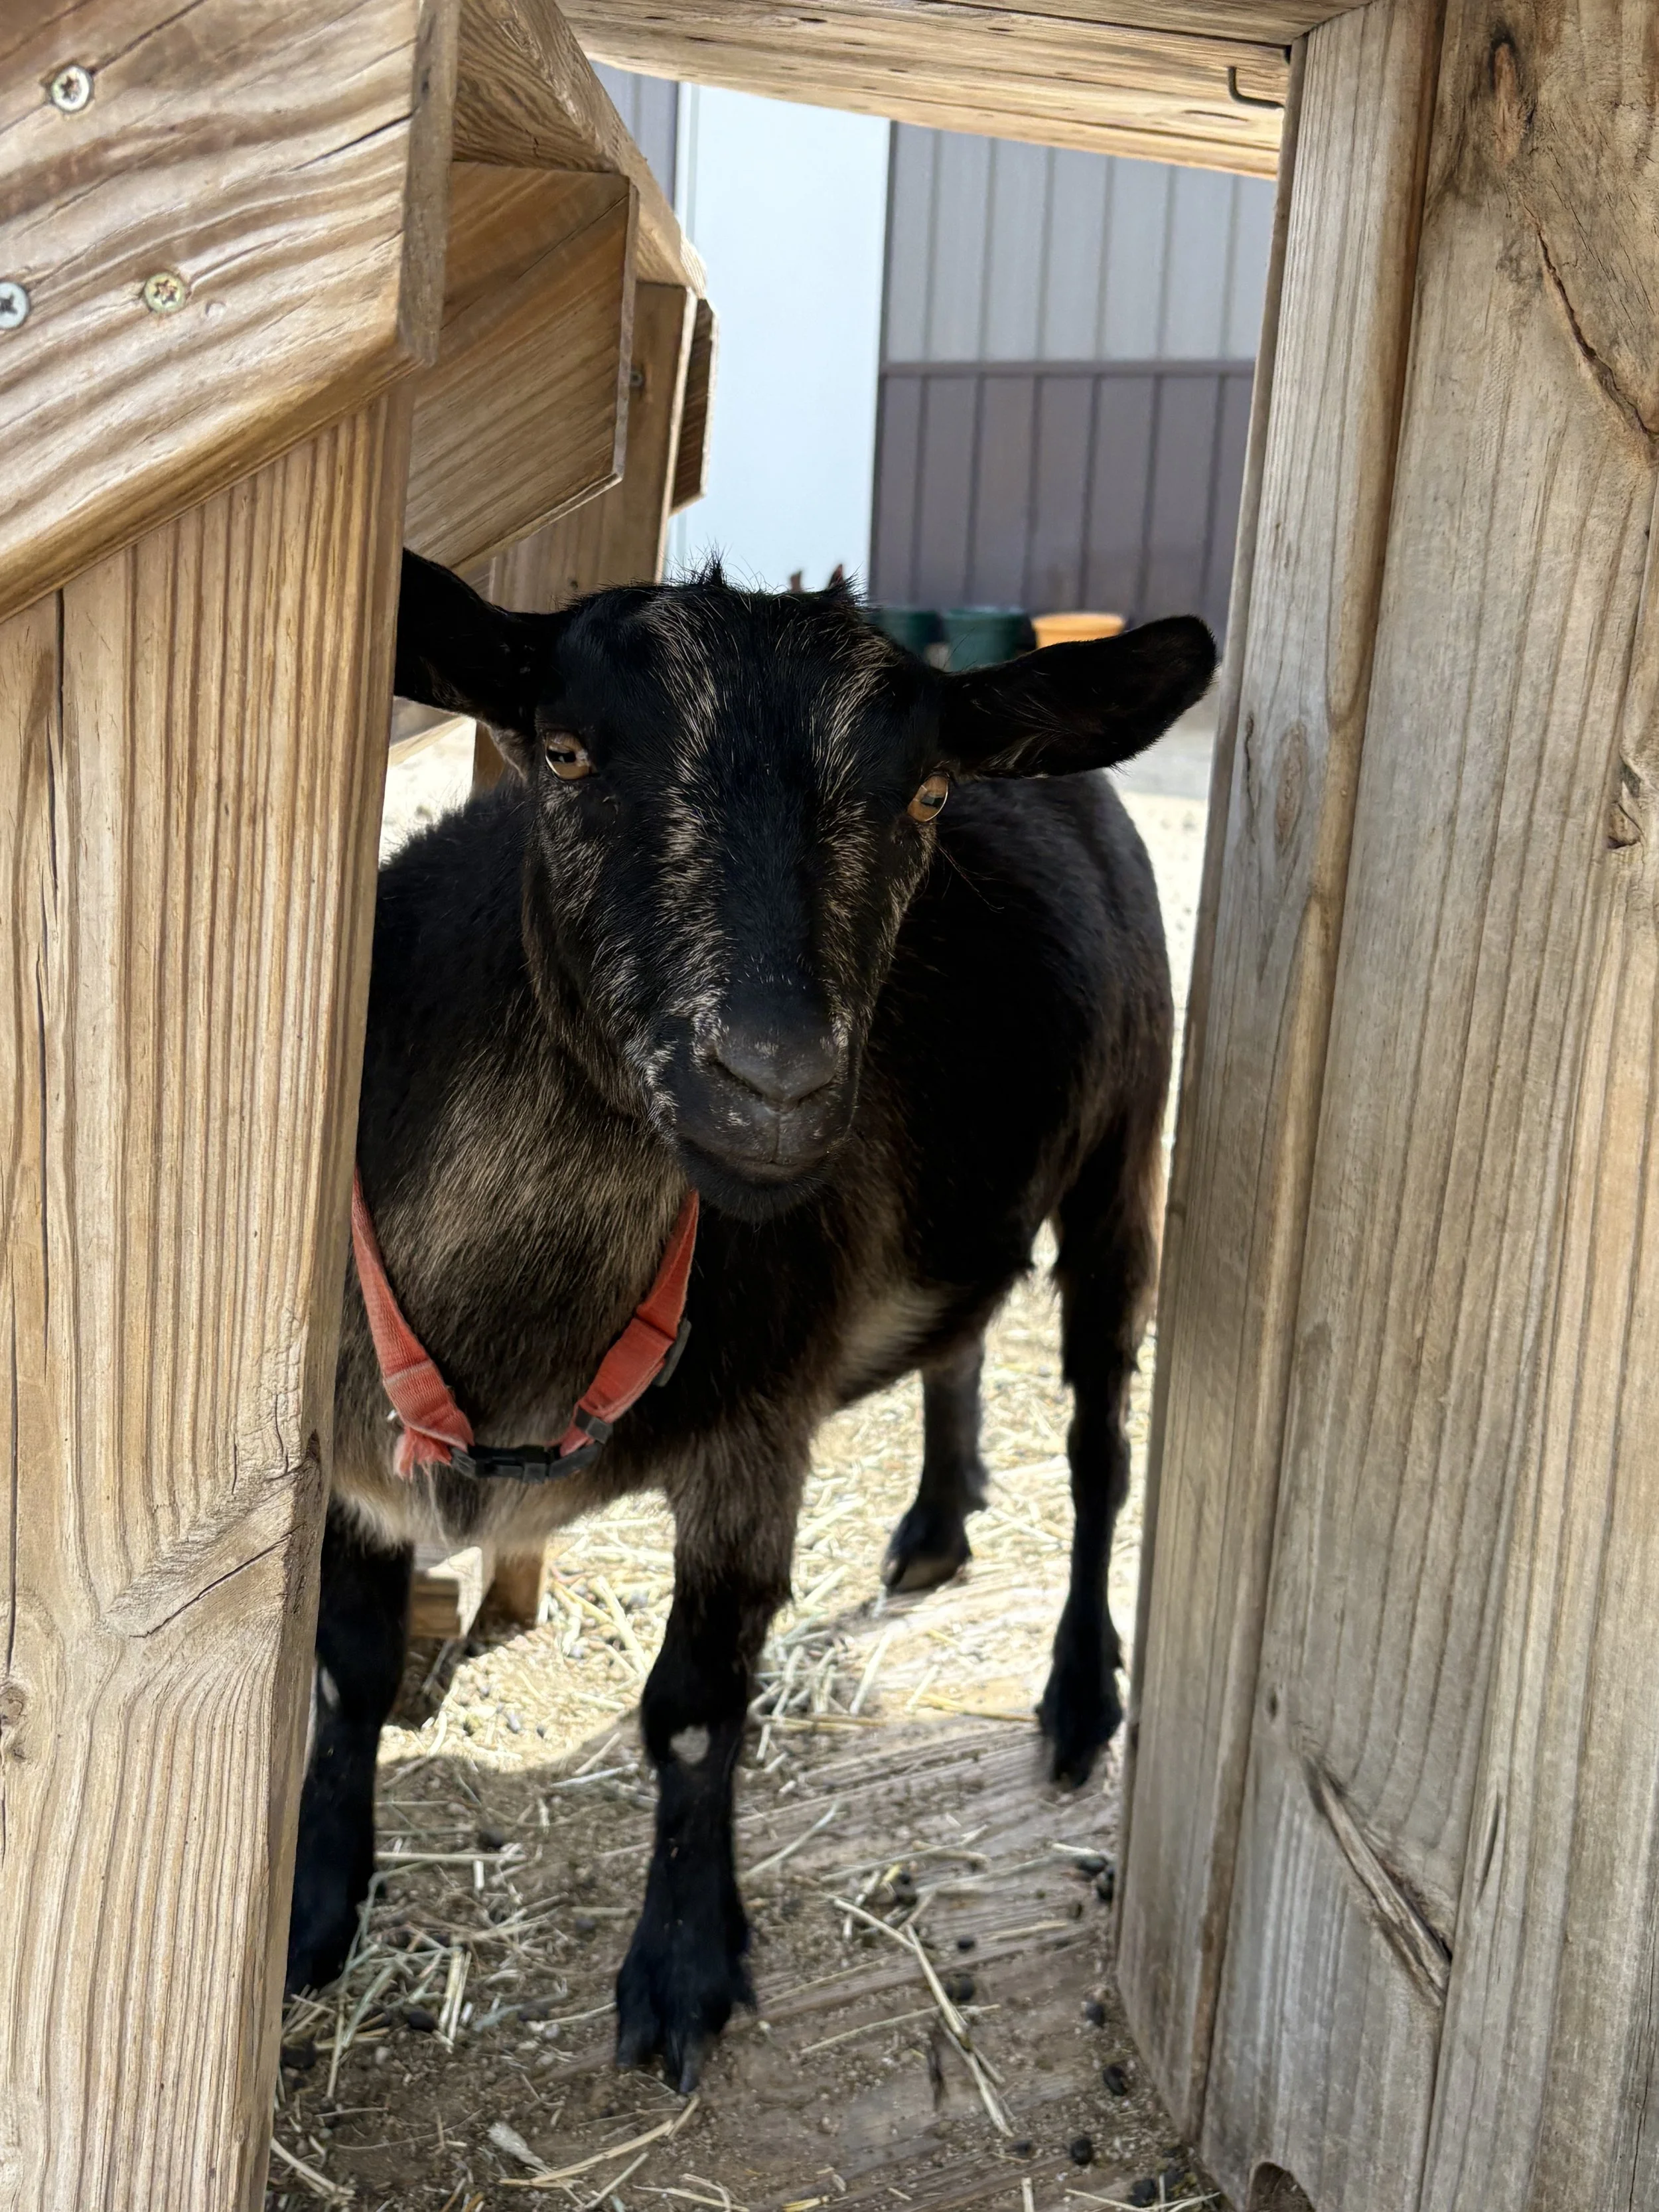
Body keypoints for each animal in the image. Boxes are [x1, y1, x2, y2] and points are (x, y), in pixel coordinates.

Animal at [290, 549, 1215, 2092]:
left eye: (923, 796)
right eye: (563, 750)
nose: (772, 1087)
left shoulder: (754, 1433)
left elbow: (693, 1706)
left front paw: (682, 1970)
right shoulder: (356, 1451)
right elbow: (349, 1670)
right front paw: (311, 1909)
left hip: (1125, 1138)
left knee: (1098, 1436)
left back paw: (1082, 1695)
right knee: (959, 1327)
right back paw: (937, 1522)